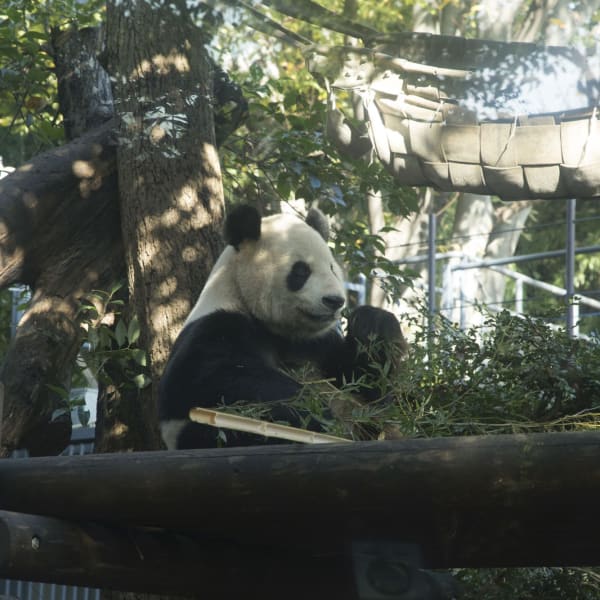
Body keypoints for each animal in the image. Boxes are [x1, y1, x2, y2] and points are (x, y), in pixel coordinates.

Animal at [158, 204, 404, 448]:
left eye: (332, 269)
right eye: (301, 271)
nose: (334, 301)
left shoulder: (318, 344)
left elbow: (365, 383)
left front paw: (372, 323)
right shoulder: (216, 325)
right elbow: (206, 378)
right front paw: (311, 410)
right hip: (207, 433)